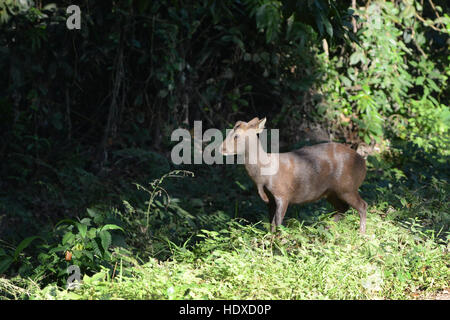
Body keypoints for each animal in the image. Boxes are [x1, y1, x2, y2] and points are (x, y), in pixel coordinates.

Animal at [220, 117, 368, 232]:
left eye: (236, 136)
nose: (221, 148)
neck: (263, 176)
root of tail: (363, 163)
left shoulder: (283, 194)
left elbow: (277, 224)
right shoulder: (270, 200)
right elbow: (270, 225)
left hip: (347, 187)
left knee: (362, 205)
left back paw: (361, 234)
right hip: (331, 192)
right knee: (343, 208)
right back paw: (325, 230)